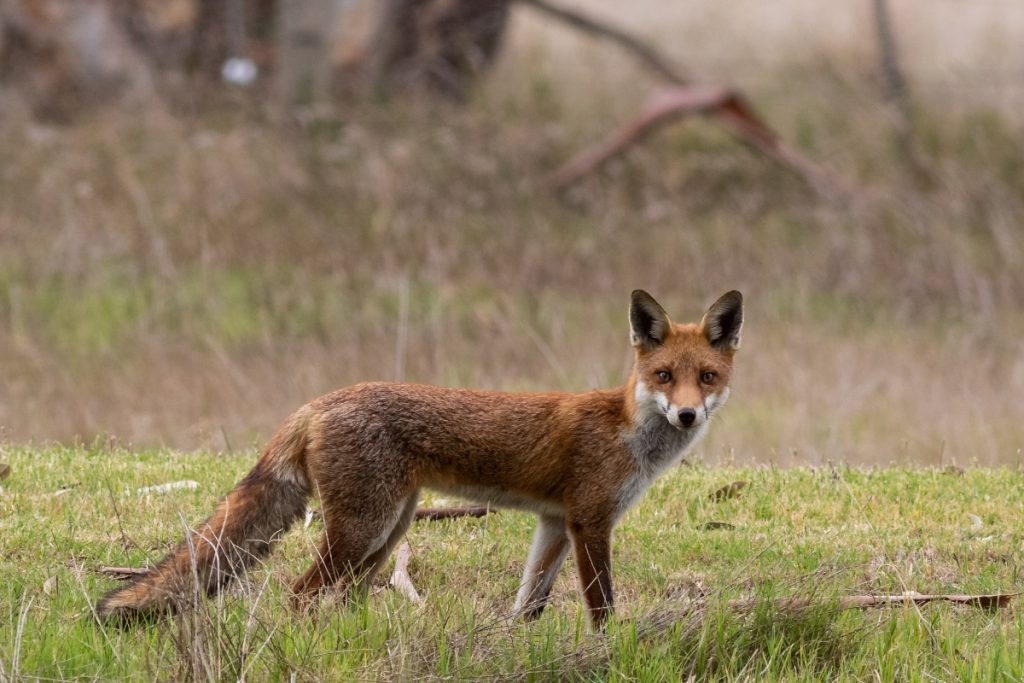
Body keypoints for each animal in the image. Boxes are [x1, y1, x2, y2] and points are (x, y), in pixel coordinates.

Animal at [97, 288, 745, 630]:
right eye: (664, 376)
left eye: (707, 378)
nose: (688, 415)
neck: (627, 431)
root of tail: (317, 402)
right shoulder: (590, 521)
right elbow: (602, 605)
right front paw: (604, 649)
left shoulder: (555, 523)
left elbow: (529, 602)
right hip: (365, 528)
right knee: (301, 593)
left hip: (388, 529)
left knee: (345, 594)